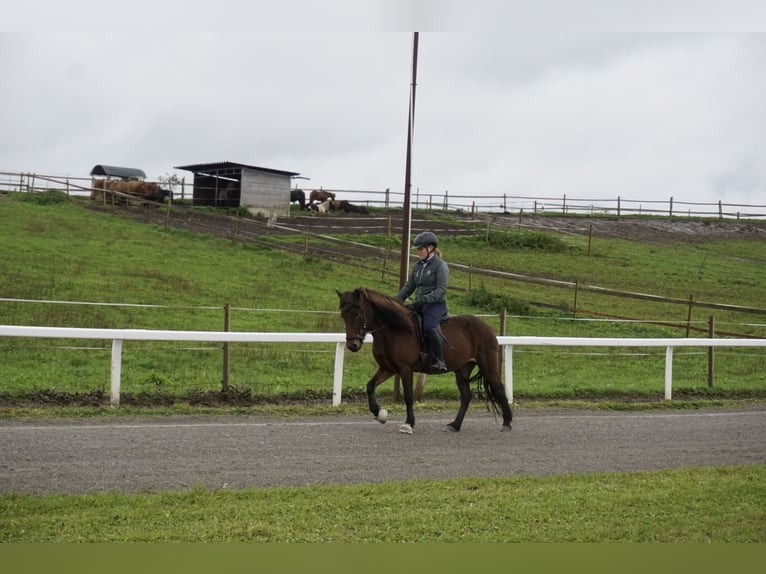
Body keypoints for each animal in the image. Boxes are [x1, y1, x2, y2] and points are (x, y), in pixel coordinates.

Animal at [338, 288, 512, 436]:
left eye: (356, 313)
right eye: (343, 315)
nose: (352, 345)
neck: (395, 329)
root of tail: (487, 328)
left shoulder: (405, 369)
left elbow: (408, 396)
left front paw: (408, 424)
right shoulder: (388, 368)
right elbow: (370, 386)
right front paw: (379, 413)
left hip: (488, 367)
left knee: (499, 390)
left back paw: (507, 423)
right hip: (462, 370)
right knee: (466, 396)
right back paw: (454, 425)